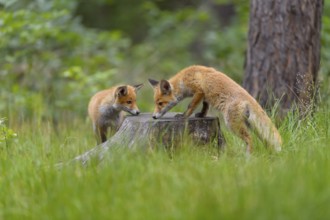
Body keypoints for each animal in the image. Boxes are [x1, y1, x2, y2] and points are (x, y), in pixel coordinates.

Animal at [148, 65, 282, 153]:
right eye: (155, 103)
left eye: (160, 103)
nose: (153, 116)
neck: (183, 79)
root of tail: (249, 98)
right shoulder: (205, 95)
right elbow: (205, 107)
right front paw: (201, 115)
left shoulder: (198, 90)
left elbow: (190, 106)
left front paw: (184, 116)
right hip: (250, 125)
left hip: (232, 124)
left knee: (250, 139)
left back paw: (247, 158)